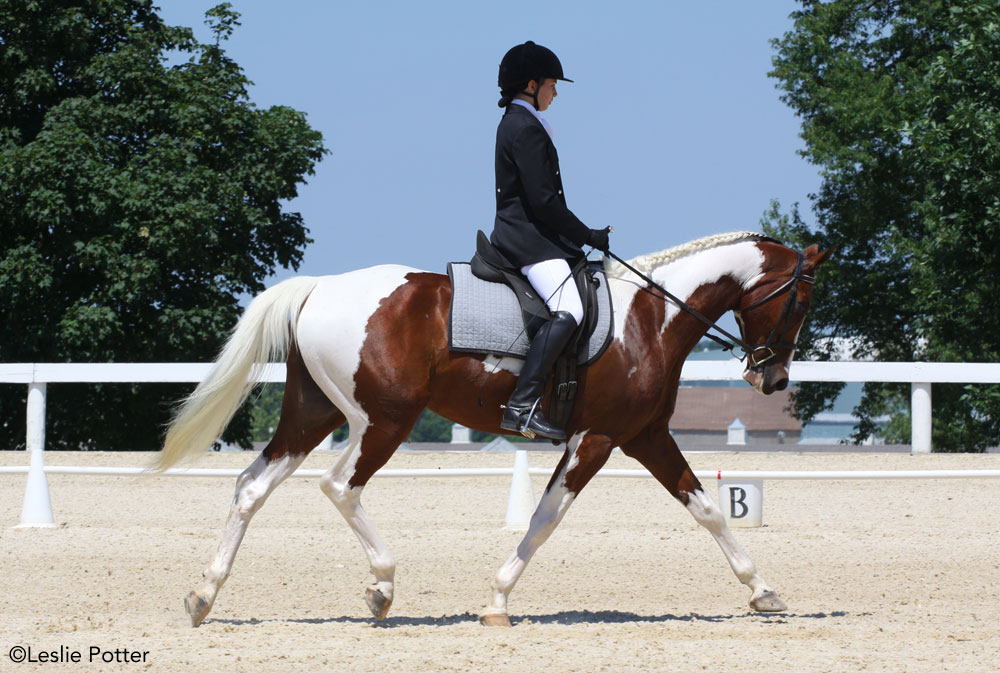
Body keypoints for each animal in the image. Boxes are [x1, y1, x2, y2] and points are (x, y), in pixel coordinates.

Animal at [156, 230, 828, 624]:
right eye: (800, 301)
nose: (773, 380)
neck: (652, 318)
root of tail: (319, 289)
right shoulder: (600, 439)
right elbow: (546, 518)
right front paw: (499, 599)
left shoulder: (643, 436)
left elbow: (707, 507)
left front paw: (763, 591)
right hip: (383, 420)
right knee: (340, 486)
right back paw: (382, 588)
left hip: (313, 412)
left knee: (251, 486)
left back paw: (203, 595)